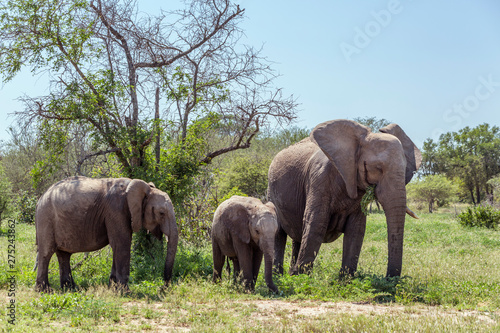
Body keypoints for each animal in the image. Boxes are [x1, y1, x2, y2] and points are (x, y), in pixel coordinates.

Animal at [33, 176, 178, 290]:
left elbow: (117, 246)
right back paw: (45, 291)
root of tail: (40, 198)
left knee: (64, 255)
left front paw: (112, 288)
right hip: (46, 218)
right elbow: (122, 244)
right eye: (161, 213)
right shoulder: (117, 209)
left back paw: (71, 289)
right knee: (46, 253)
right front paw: (124, 292)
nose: (163, 287)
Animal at [268, 119, 420, 278]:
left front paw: (345, 279)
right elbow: (315, 223)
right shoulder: (318, 179)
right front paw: (301, 278)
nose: (389, 278)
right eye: (378, 168)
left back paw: (289, 273)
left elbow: (356, 229)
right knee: (279, 233)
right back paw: (279, 276)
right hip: (271, 192)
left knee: (297, 236)